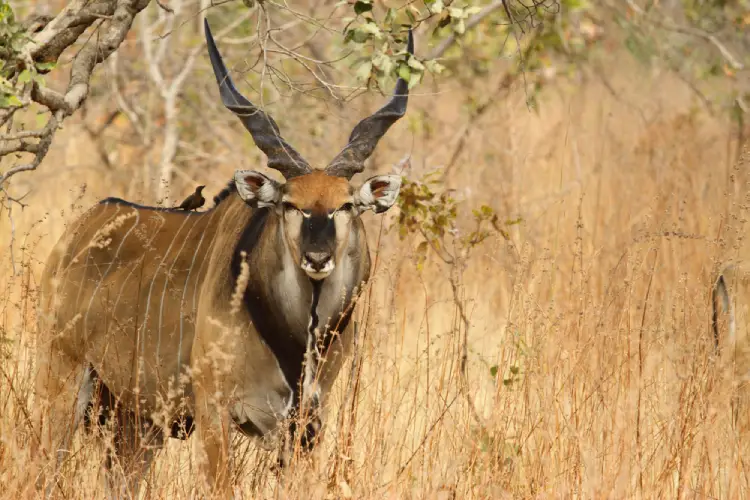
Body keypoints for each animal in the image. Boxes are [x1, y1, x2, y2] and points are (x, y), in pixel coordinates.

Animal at [29, 18, 414, 496]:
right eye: (290, 204)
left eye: (346, 205)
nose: (317, 256)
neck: (296, 338)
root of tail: (76, 234)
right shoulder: (216, 414)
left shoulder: (306, 426)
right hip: (62, 382)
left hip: (136, 423)